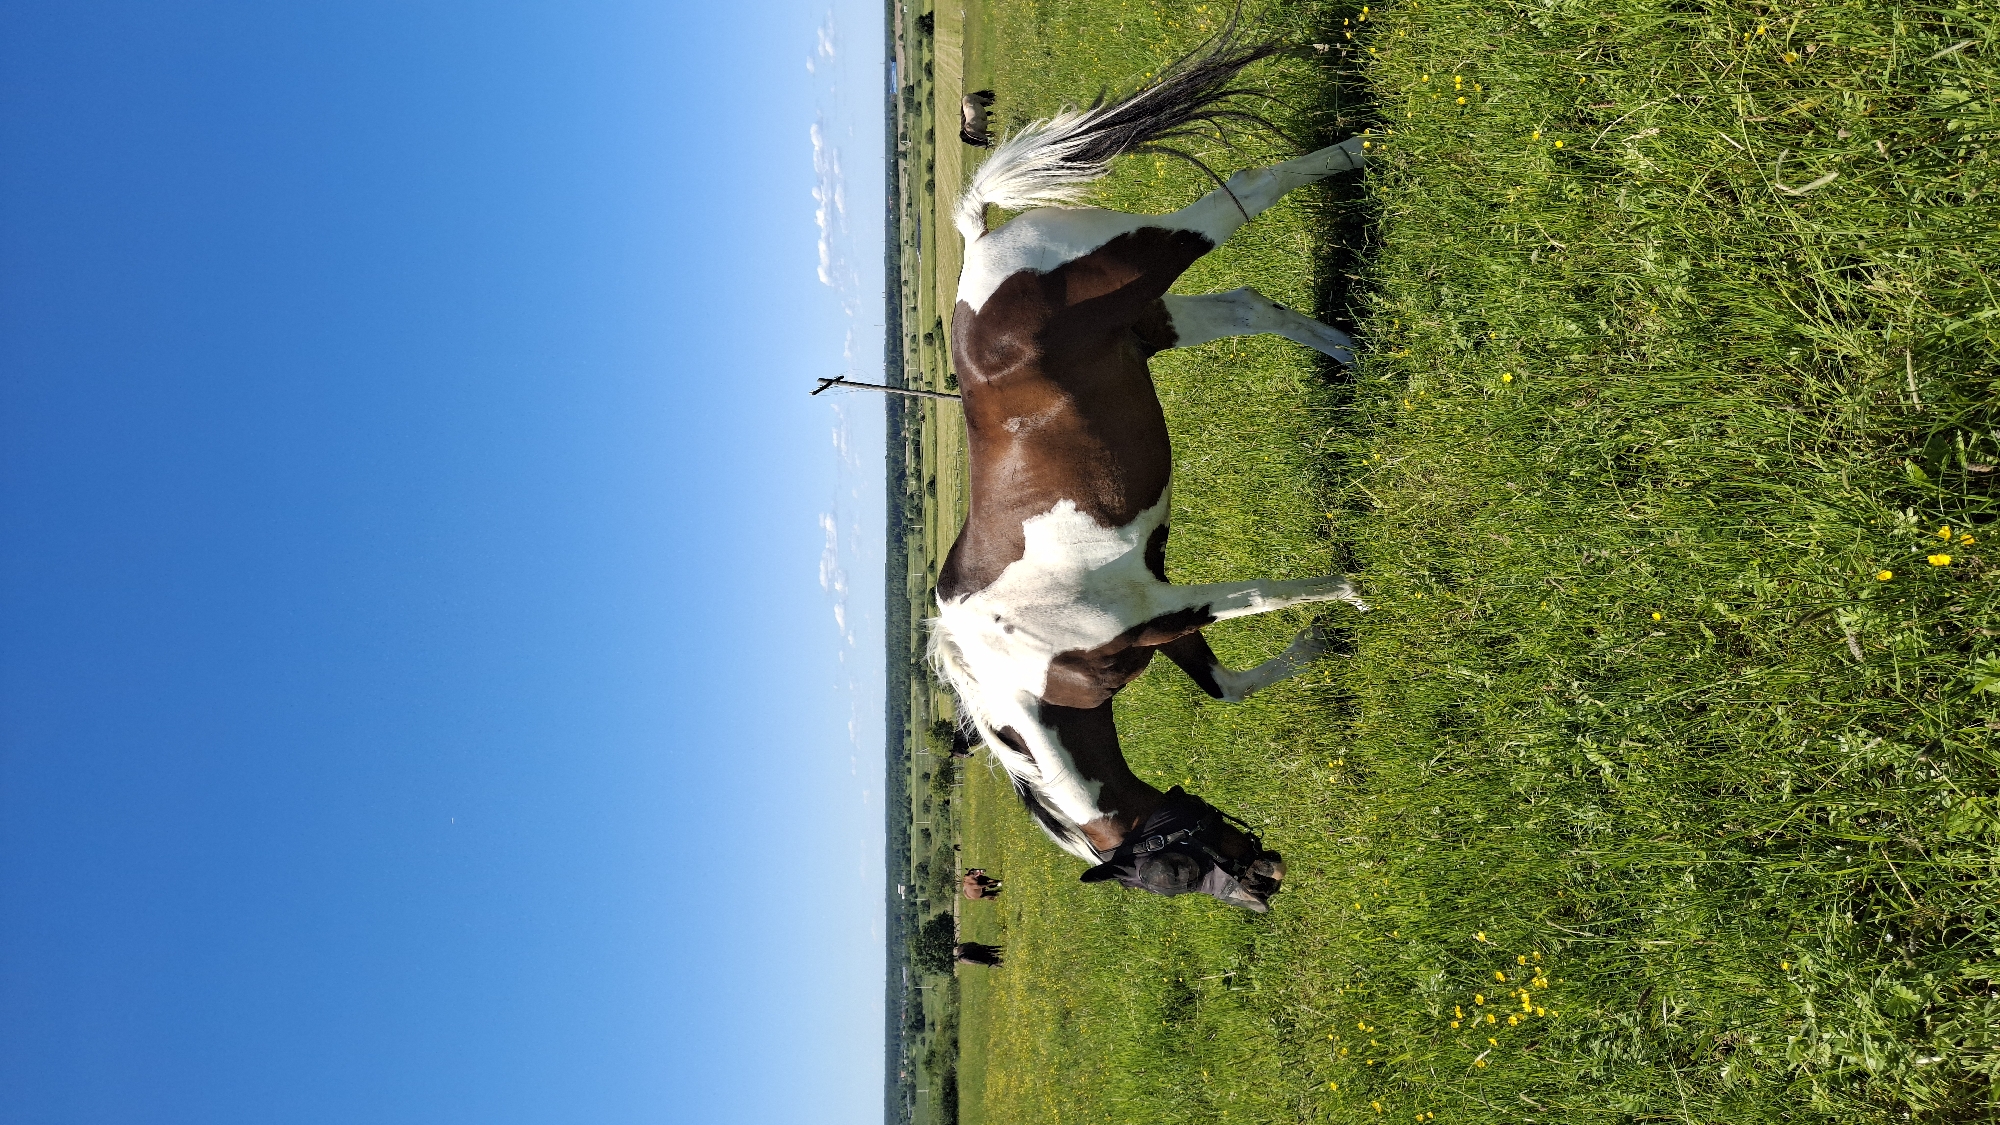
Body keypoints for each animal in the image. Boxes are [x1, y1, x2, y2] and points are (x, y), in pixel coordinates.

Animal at [928, 25, 1369, 914]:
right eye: (1173, 876)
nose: (1263, 888)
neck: (1028, 663)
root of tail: (982, 246)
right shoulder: (1164, 624)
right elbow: (1223, 685)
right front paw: (1319, 645)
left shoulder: (1161, 603)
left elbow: (1261, 595)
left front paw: (1351, 594)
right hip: (1148, 322)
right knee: (1247, 304)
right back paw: (1350, 352)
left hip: (1152, 258)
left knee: (1249, 189)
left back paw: (1360, 150)